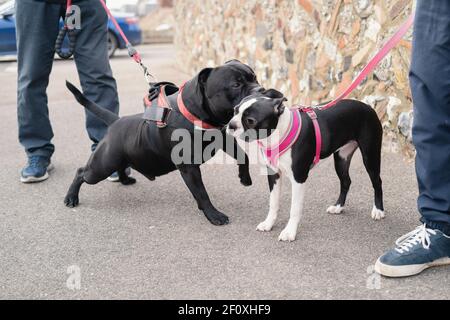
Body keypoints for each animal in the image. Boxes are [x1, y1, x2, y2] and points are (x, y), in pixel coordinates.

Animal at [63, 60, 264, 225]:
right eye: (236, 85)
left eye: (255, 77)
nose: (260, 90)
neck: (196, 115)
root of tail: (115, 121)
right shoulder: (189, 168)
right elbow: (201, 192)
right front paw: (214, 215)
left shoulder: (223, 139)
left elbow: (243, 156)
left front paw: (245, 178)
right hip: (102, 166)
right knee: (81, 173)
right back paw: (71, 197)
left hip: (117, 159)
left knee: (119, 166)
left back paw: (125, 179)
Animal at [229, 89, 384, 241]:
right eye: (235, 110)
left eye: (250, 121)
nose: (231, 125)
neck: (278, 134)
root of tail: (367, 106)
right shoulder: (274, 174)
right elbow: (273, 202)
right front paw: (268, 224)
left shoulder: (298, 179)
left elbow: (294, 208)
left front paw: (289, 232)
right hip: (341, 158)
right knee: (346, 181)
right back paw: (338, 207)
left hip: (370, 155)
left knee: (377, 181)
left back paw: (378, 210)